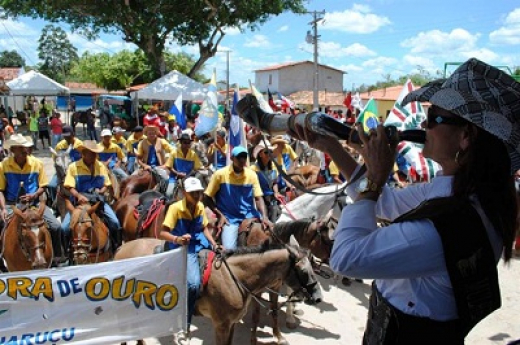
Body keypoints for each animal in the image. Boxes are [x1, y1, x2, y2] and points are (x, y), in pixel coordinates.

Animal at [114, 238, 320, 344]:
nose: (318, 296)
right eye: (303, 271)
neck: (236, 276)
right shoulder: (221, 325)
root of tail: (121, 248)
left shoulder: (231, 323)